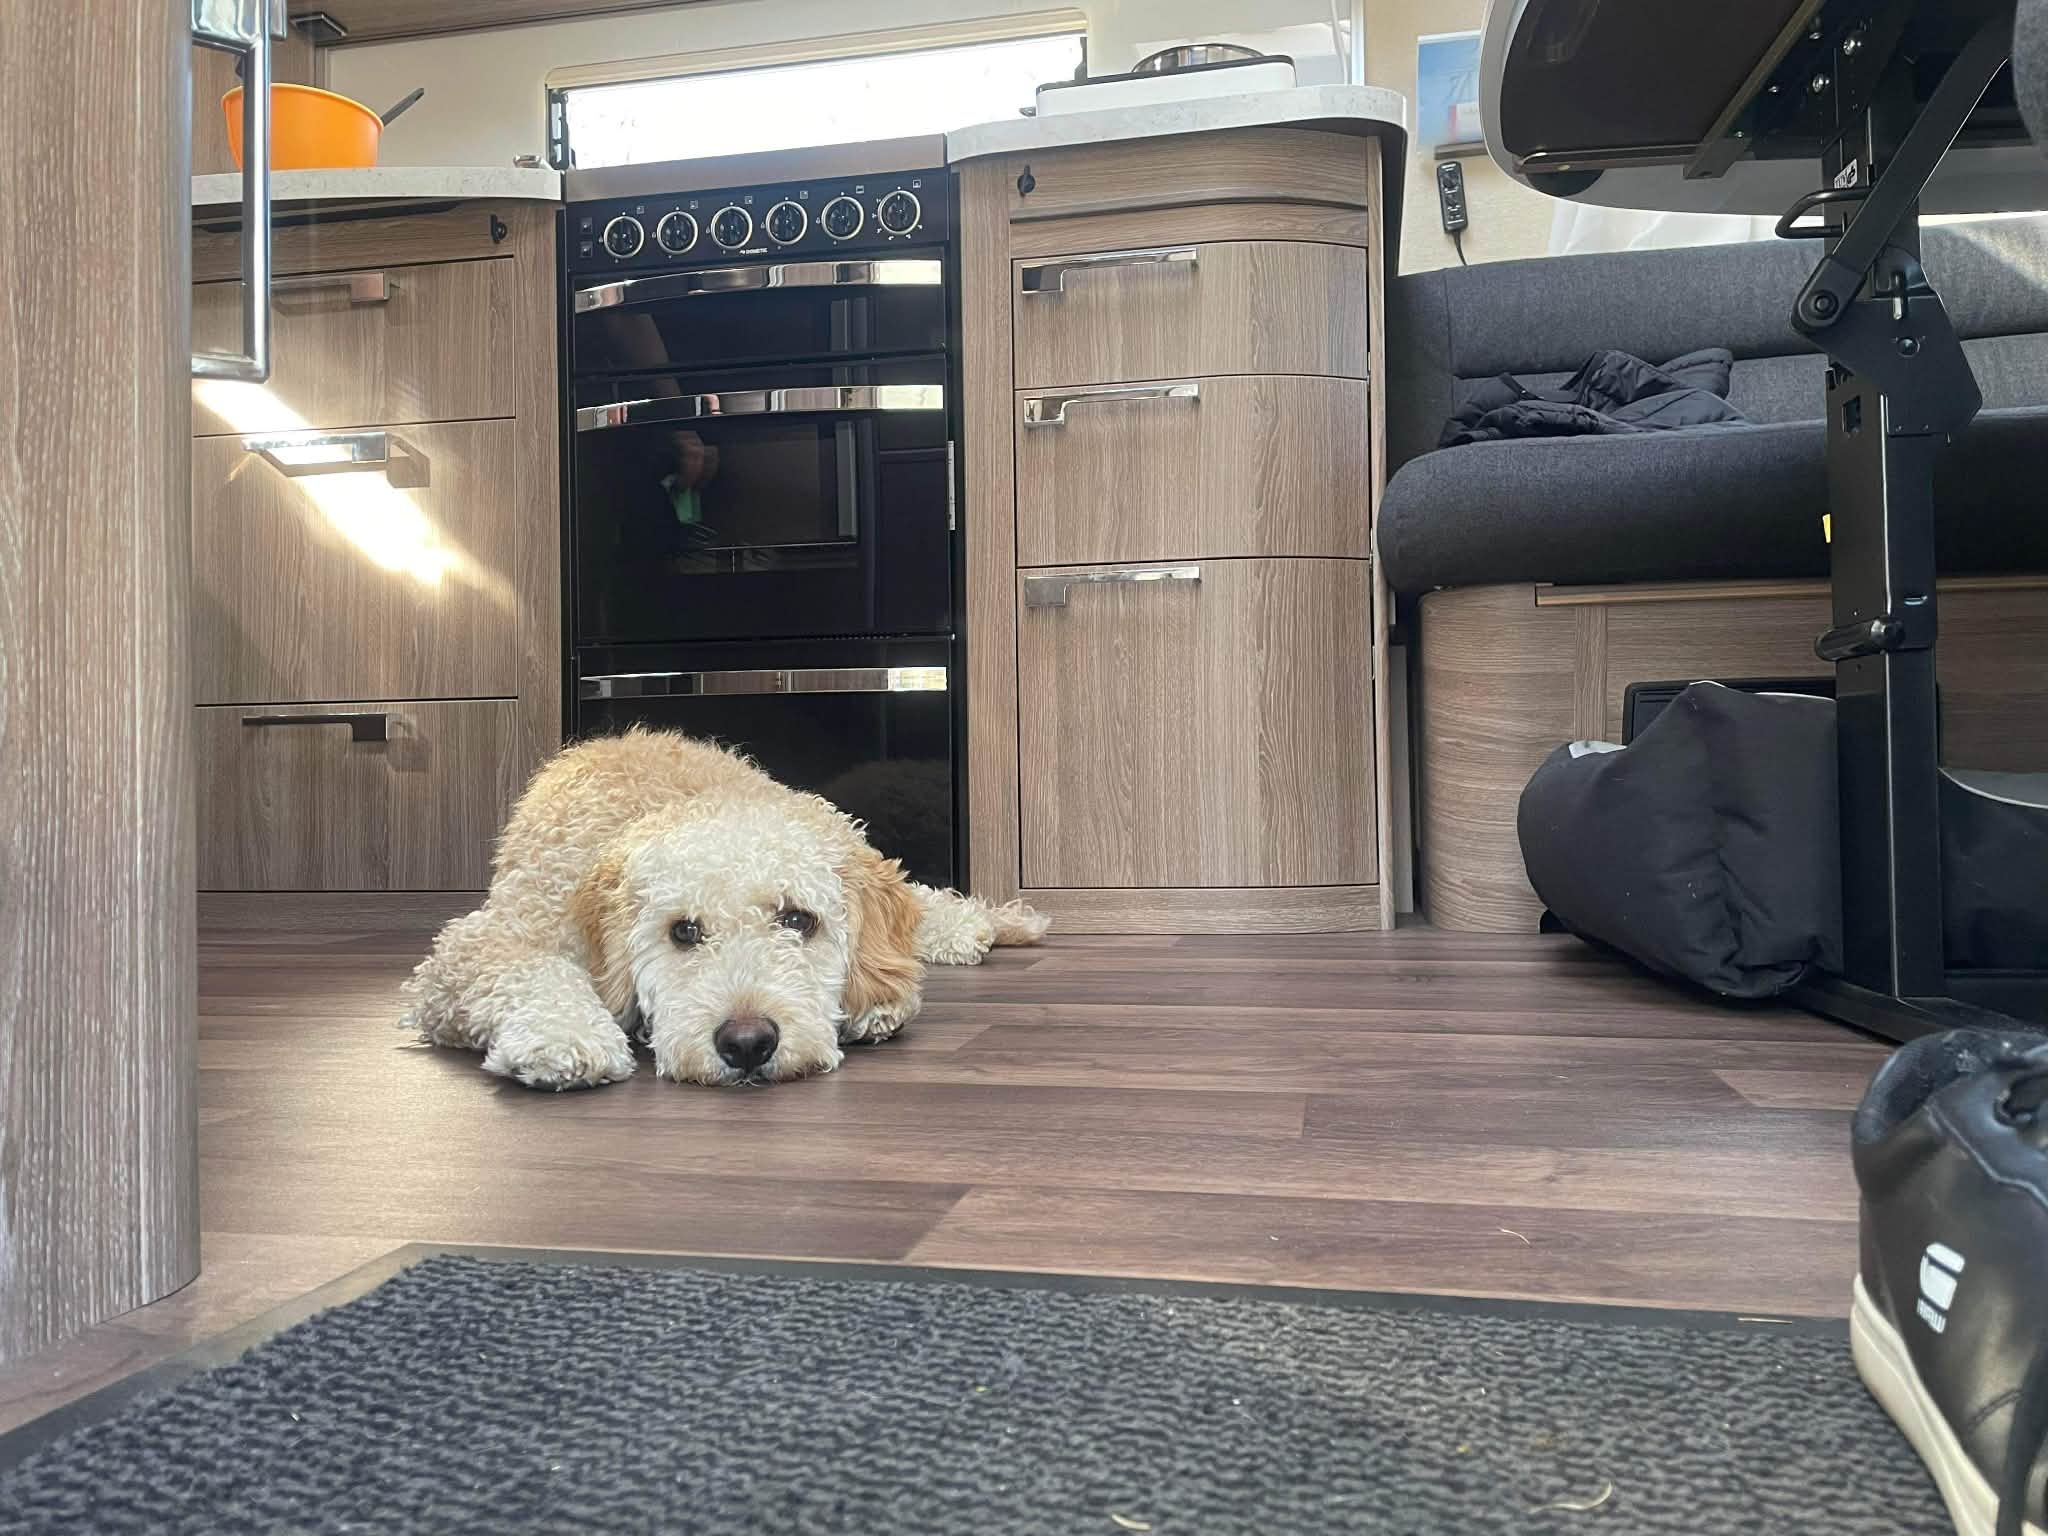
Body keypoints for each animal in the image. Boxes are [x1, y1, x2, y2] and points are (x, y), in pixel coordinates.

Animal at [399, 729, 1047, 1089]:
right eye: (683, 931)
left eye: (797, 919)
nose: (748, 1043)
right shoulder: (479, 945)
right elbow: (532, 970)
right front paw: (564, 1037)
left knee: (920, 901)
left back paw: (989, 925)